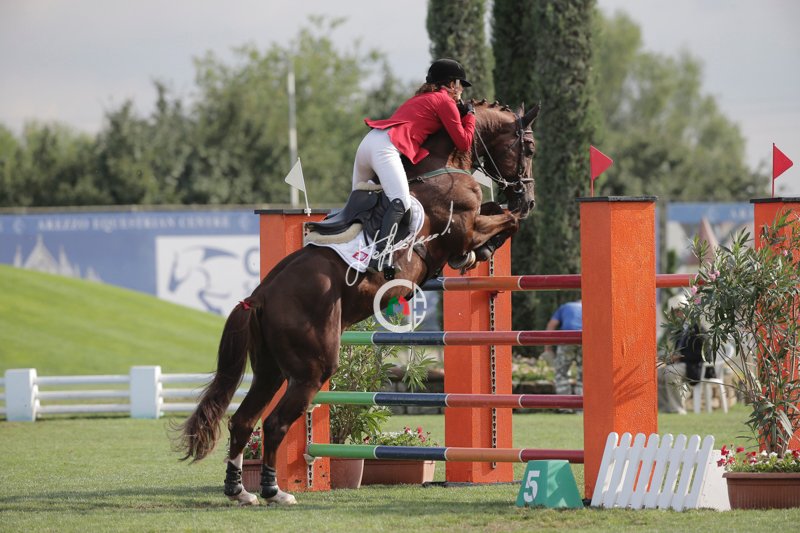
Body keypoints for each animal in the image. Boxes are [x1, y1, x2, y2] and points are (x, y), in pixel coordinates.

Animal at [176, 100, 539, 505]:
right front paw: (482, 251)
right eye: (528, 148)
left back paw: (240, 490)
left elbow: (499, 212)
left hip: (272, 370)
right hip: (311, 369)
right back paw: (274, 491)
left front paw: (485, 247)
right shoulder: (464, 227)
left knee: (243, 420)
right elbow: (507, 220)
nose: (527, 197)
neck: (444, 167)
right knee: (274, 423)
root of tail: (259, 296)